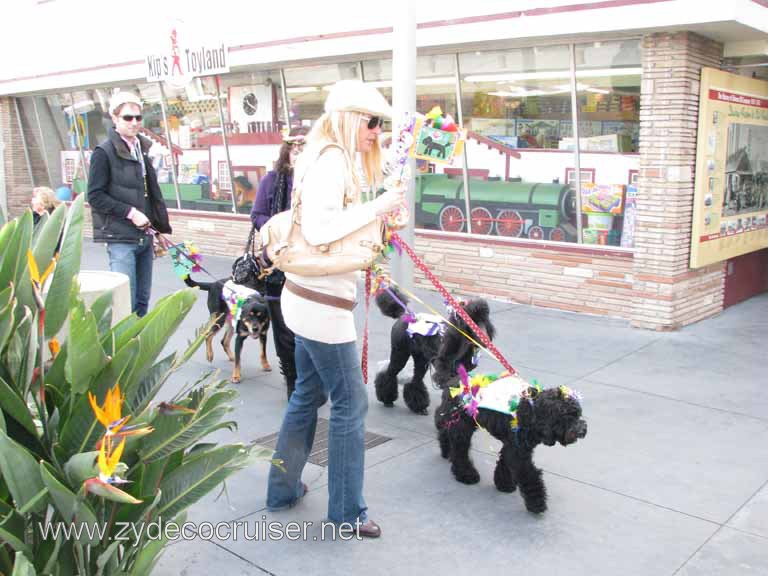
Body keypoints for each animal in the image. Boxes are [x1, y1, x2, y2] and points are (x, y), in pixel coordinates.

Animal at [374, 286, 496, 414]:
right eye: (471, 322)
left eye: (484, 321)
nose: (485, 339)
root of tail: (404, 315)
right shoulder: (446, 372)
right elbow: (451, 390)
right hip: (400, 352)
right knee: (390, 373)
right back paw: (387, 399)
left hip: (421, 358)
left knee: (416, 380)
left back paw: (419, 407)